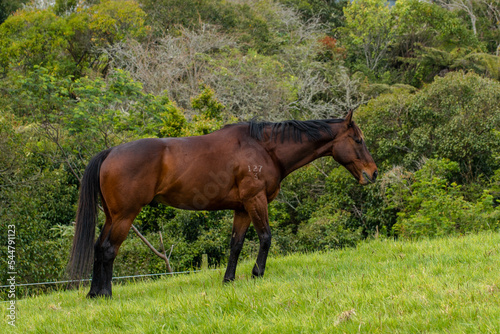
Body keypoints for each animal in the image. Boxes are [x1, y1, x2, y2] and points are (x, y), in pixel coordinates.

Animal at [68, 109, 376, 298]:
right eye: (358, 140)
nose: (372, 173)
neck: (264, 148)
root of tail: (111, 152)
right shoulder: (255, 200)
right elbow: (266, 236)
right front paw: (256, 273)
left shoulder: (242, 208)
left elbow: (236, 244)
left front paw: (229, 280)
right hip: (125, 216)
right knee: (109, 249)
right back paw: (106, 293)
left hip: (112, 215)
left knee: (99, 247)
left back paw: (94, 293)